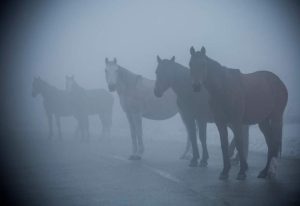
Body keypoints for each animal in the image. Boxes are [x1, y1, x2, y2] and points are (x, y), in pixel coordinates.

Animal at [189, 45, 288, 179]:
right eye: (190, 64)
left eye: (203, 64)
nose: (196, 86)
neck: (224, 88)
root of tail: (279, 82)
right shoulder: (220, 123)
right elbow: (224, 144)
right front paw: (225, 172)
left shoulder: (236, 122)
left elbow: (239, 143)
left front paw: (241, 172)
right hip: (263, 121)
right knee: (271, 143)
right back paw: (264, 172)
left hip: (276, 117)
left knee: (274, 143)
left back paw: (269, 171)